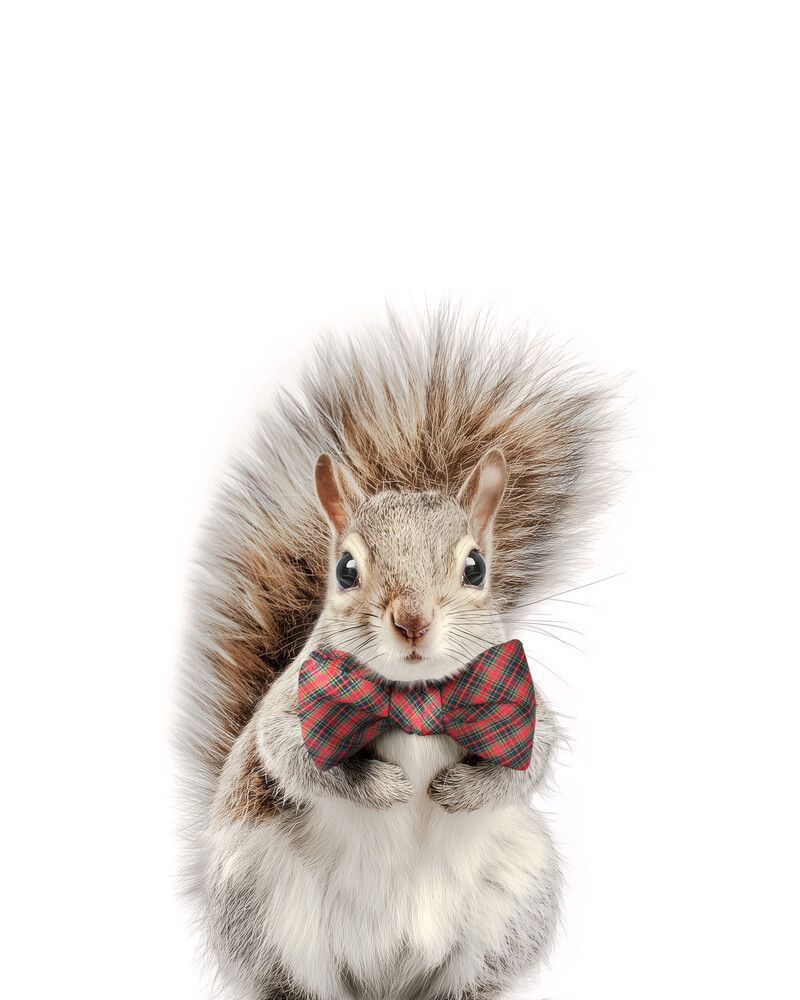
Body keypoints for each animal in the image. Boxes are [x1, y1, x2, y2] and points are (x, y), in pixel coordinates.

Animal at [176, 307, 616, 1000]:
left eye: (475, 567)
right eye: (346, 569)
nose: (412, 620)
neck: (416, 700)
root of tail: (387, 980)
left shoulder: (526, 710)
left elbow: (529, 762)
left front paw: (457, 790)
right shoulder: (288, 711)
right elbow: (293, 757)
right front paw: (384, 787)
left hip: (511, 905)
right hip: (263, 908)